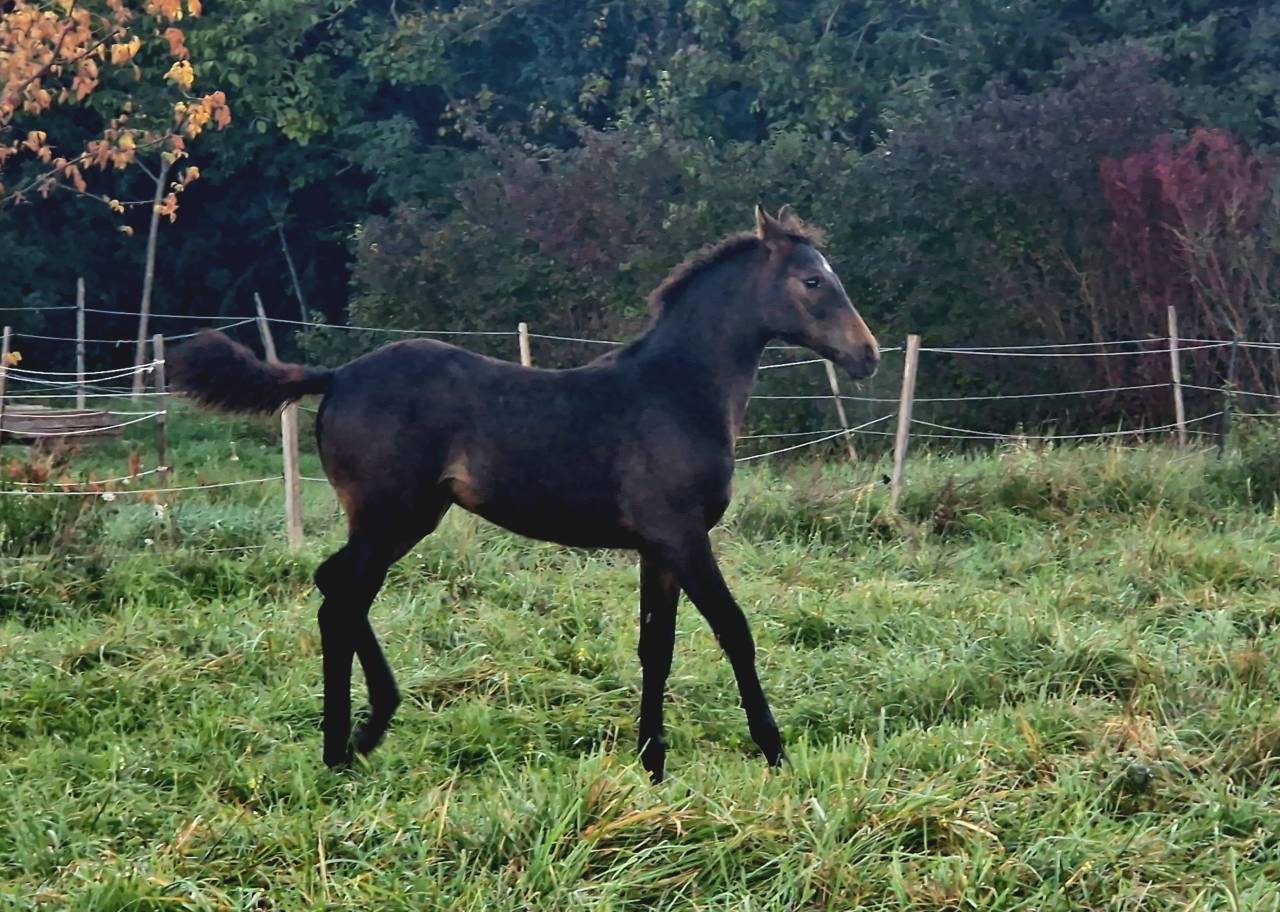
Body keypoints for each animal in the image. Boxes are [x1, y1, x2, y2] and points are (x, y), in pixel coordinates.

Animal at [168, 205, 880, 782]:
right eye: (812, 281)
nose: (867, 355)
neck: (677, 391)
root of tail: (338, 375)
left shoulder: (657, 547)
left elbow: (657, 647)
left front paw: (652, 765)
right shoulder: (683, 536)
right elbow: (735, 630)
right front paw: (775, 751)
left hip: (405, 518)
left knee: (334, 588)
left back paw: (362, 733)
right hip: (387, 517)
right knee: (342, 599)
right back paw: (348, 745)